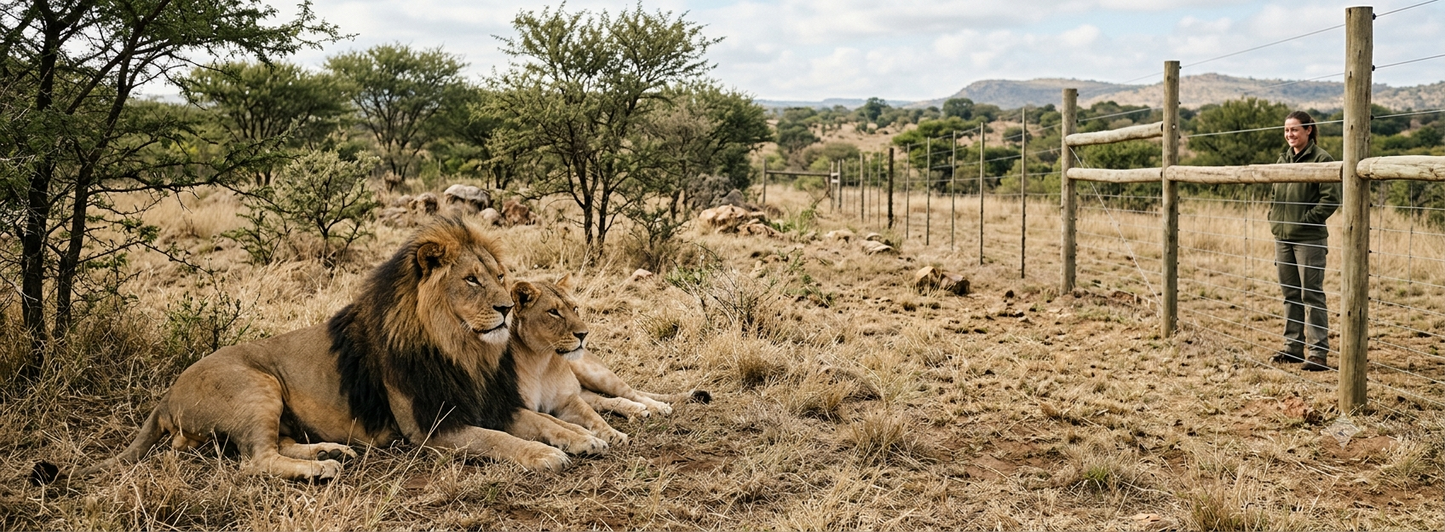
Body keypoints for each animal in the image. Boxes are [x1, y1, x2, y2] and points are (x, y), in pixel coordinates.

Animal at [39, 218, 604, 484]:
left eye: (502, 277)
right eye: (470, 280)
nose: (507, 307)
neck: (461, 349)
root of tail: (166, 394)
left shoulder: (487, 403)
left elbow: (544, 421)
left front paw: (585, 438)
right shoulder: (432, 429)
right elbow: (502, 441)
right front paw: (547, 455)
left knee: (269, 447)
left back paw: (330, 452)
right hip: (256, 385)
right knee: (255, 461)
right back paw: (320, 470)